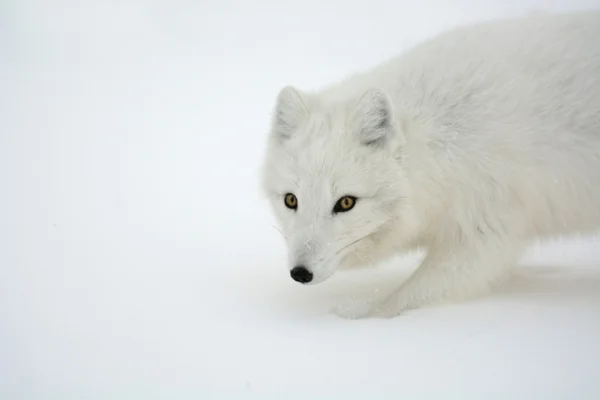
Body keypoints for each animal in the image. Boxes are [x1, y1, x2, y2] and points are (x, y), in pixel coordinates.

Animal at [260, 11, 600, 318]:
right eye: (291, 200)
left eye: (345, 203)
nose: (300, 273)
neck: (437, 143)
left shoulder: (484, 229)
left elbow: (404, 299)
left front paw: (364, 317)